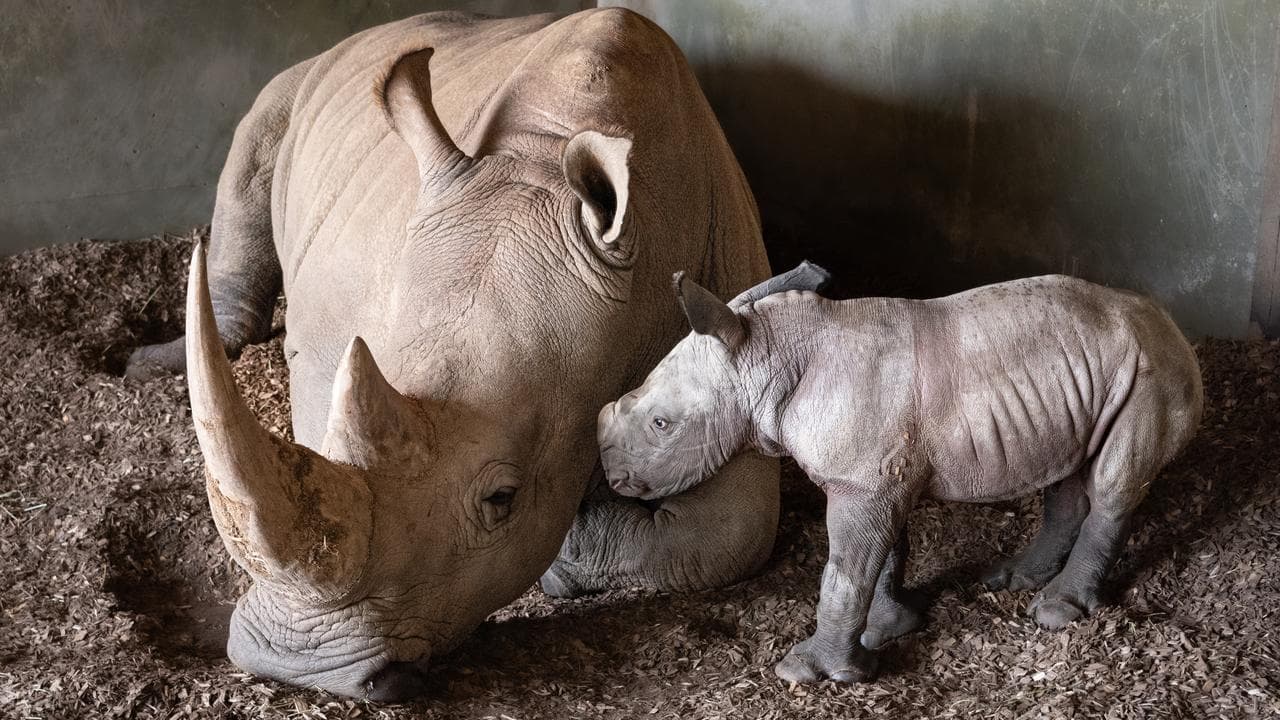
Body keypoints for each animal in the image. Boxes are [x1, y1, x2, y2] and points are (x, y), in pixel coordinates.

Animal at [597, 266, 1203, 684]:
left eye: (661, 424)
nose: (612, 477)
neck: (764, 353)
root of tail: (1171, 324)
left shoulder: (865, 480)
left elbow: (845, 571)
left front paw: (811, 671)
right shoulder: (874, 476)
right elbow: (883, 554)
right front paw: (887, 629)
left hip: (1148, 371)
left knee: (1112, 485)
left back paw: (1056, 612)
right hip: (1094, 376)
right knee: (1068, 472)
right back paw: (1015, 580)